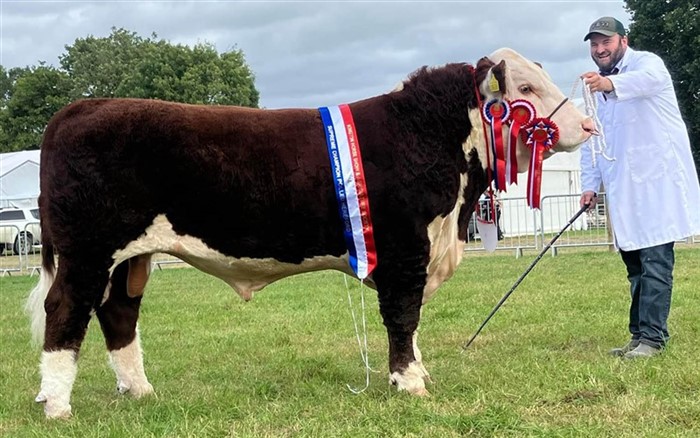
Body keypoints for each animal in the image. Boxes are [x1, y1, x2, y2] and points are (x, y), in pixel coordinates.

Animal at [26, 48, 592, 418]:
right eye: (524, 89)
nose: (587, 127)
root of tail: (82, 107)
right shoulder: (404, 249)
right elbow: (403, 316)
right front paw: (409, 383)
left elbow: (412, 320)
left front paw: (418, 372)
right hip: (87, 251)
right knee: (66, 311)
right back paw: (57, 406)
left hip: (129, 259)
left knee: (118, 312)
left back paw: (141, 392)